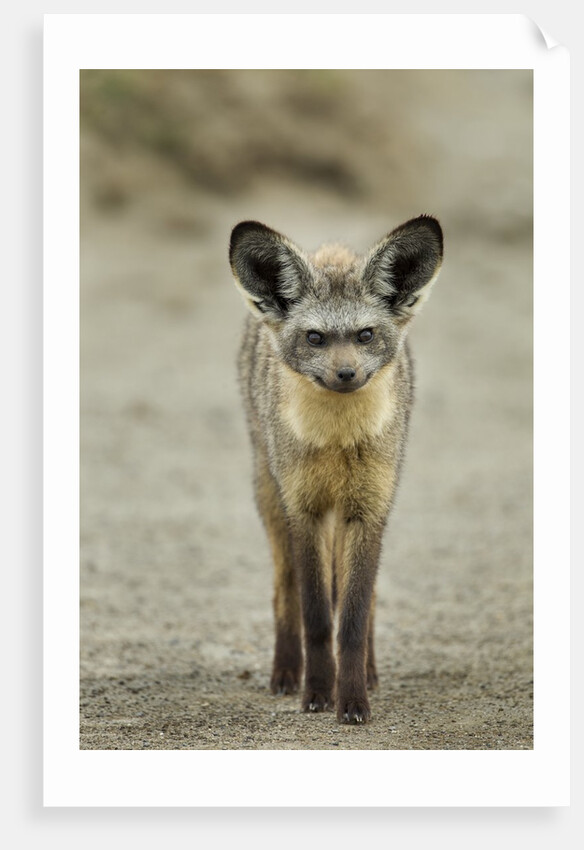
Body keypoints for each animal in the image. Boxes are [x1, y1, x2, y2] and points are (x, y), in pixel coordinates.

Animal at [229, 215, 443, 724]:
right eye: (315, 338)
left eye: (364, 335)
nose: (346, 375)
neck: (336, 444)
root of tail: (332, 250)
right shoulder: (304, 511)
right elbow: (318, 618)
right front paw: (317, 694)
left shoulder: (368, 510)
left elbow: (352, 618)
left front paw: (353, 701)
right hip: (272, 501)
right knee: (285, 593)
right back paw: (287, 672)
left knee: (361, 603)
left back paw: (369, 671)